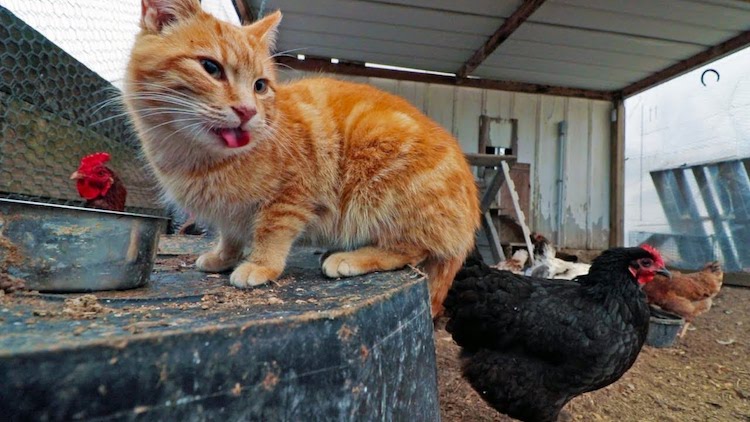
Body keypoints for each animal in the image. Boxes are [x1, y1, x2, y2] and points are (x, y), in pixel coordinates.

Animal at [125, 0, 478, 316]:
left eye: (260, 85)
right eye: (211, 68)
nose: (247, 111)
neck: (198, 157)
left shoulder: (292, 194)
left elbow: (271, 230)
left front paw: (260, 265)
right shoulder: (229, 214)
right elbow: (230, 234)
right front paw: (222, 256)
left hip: (379, 185)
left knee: (412, 250)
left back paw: (350, 257)